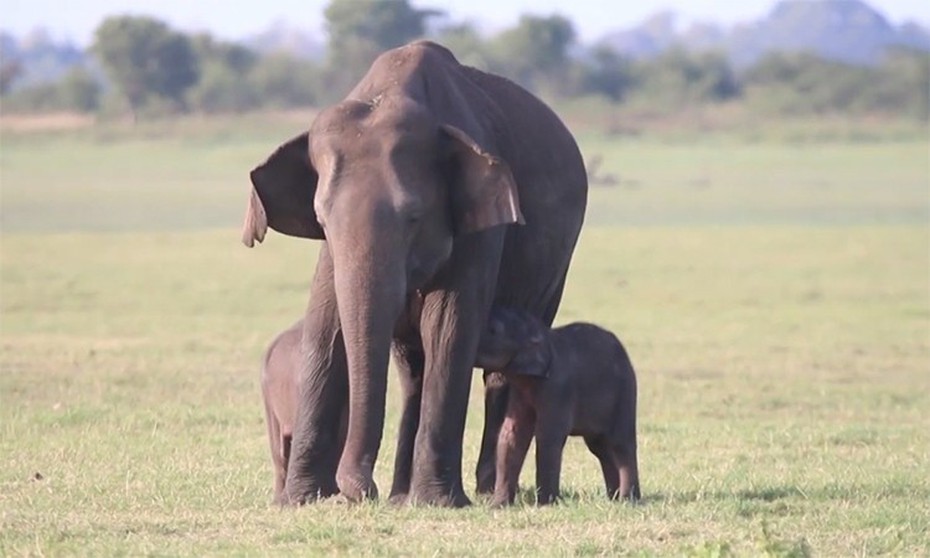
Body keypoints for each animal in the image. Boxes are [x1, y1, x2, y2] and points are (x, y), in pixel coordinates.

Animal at [243, 41, 584, 510]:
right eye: (320, 218)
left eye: (414, 217)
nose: (358, 490)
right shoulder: (331, 250)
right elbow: (326, 324)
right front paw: (299, 501)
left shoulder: (480, 225)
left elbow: (449, 325)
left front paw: (439, 502)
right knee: (412, 372)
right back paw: (401, 496)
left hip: (556, 268)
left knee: (503, 368)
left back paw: (481, 491)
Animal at [472, 308, 640, 510]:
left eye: (493, 330)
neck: (543, 336)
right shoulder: (519, 391)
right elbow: (512, 434)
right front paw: (497, 506)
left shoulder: (558, 387)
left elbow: (548, 435)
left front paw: (545, 504)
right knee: (600, 448)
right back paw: (614, 498)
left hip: (625, 392)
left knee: (620, 443)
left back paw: (628, 500)